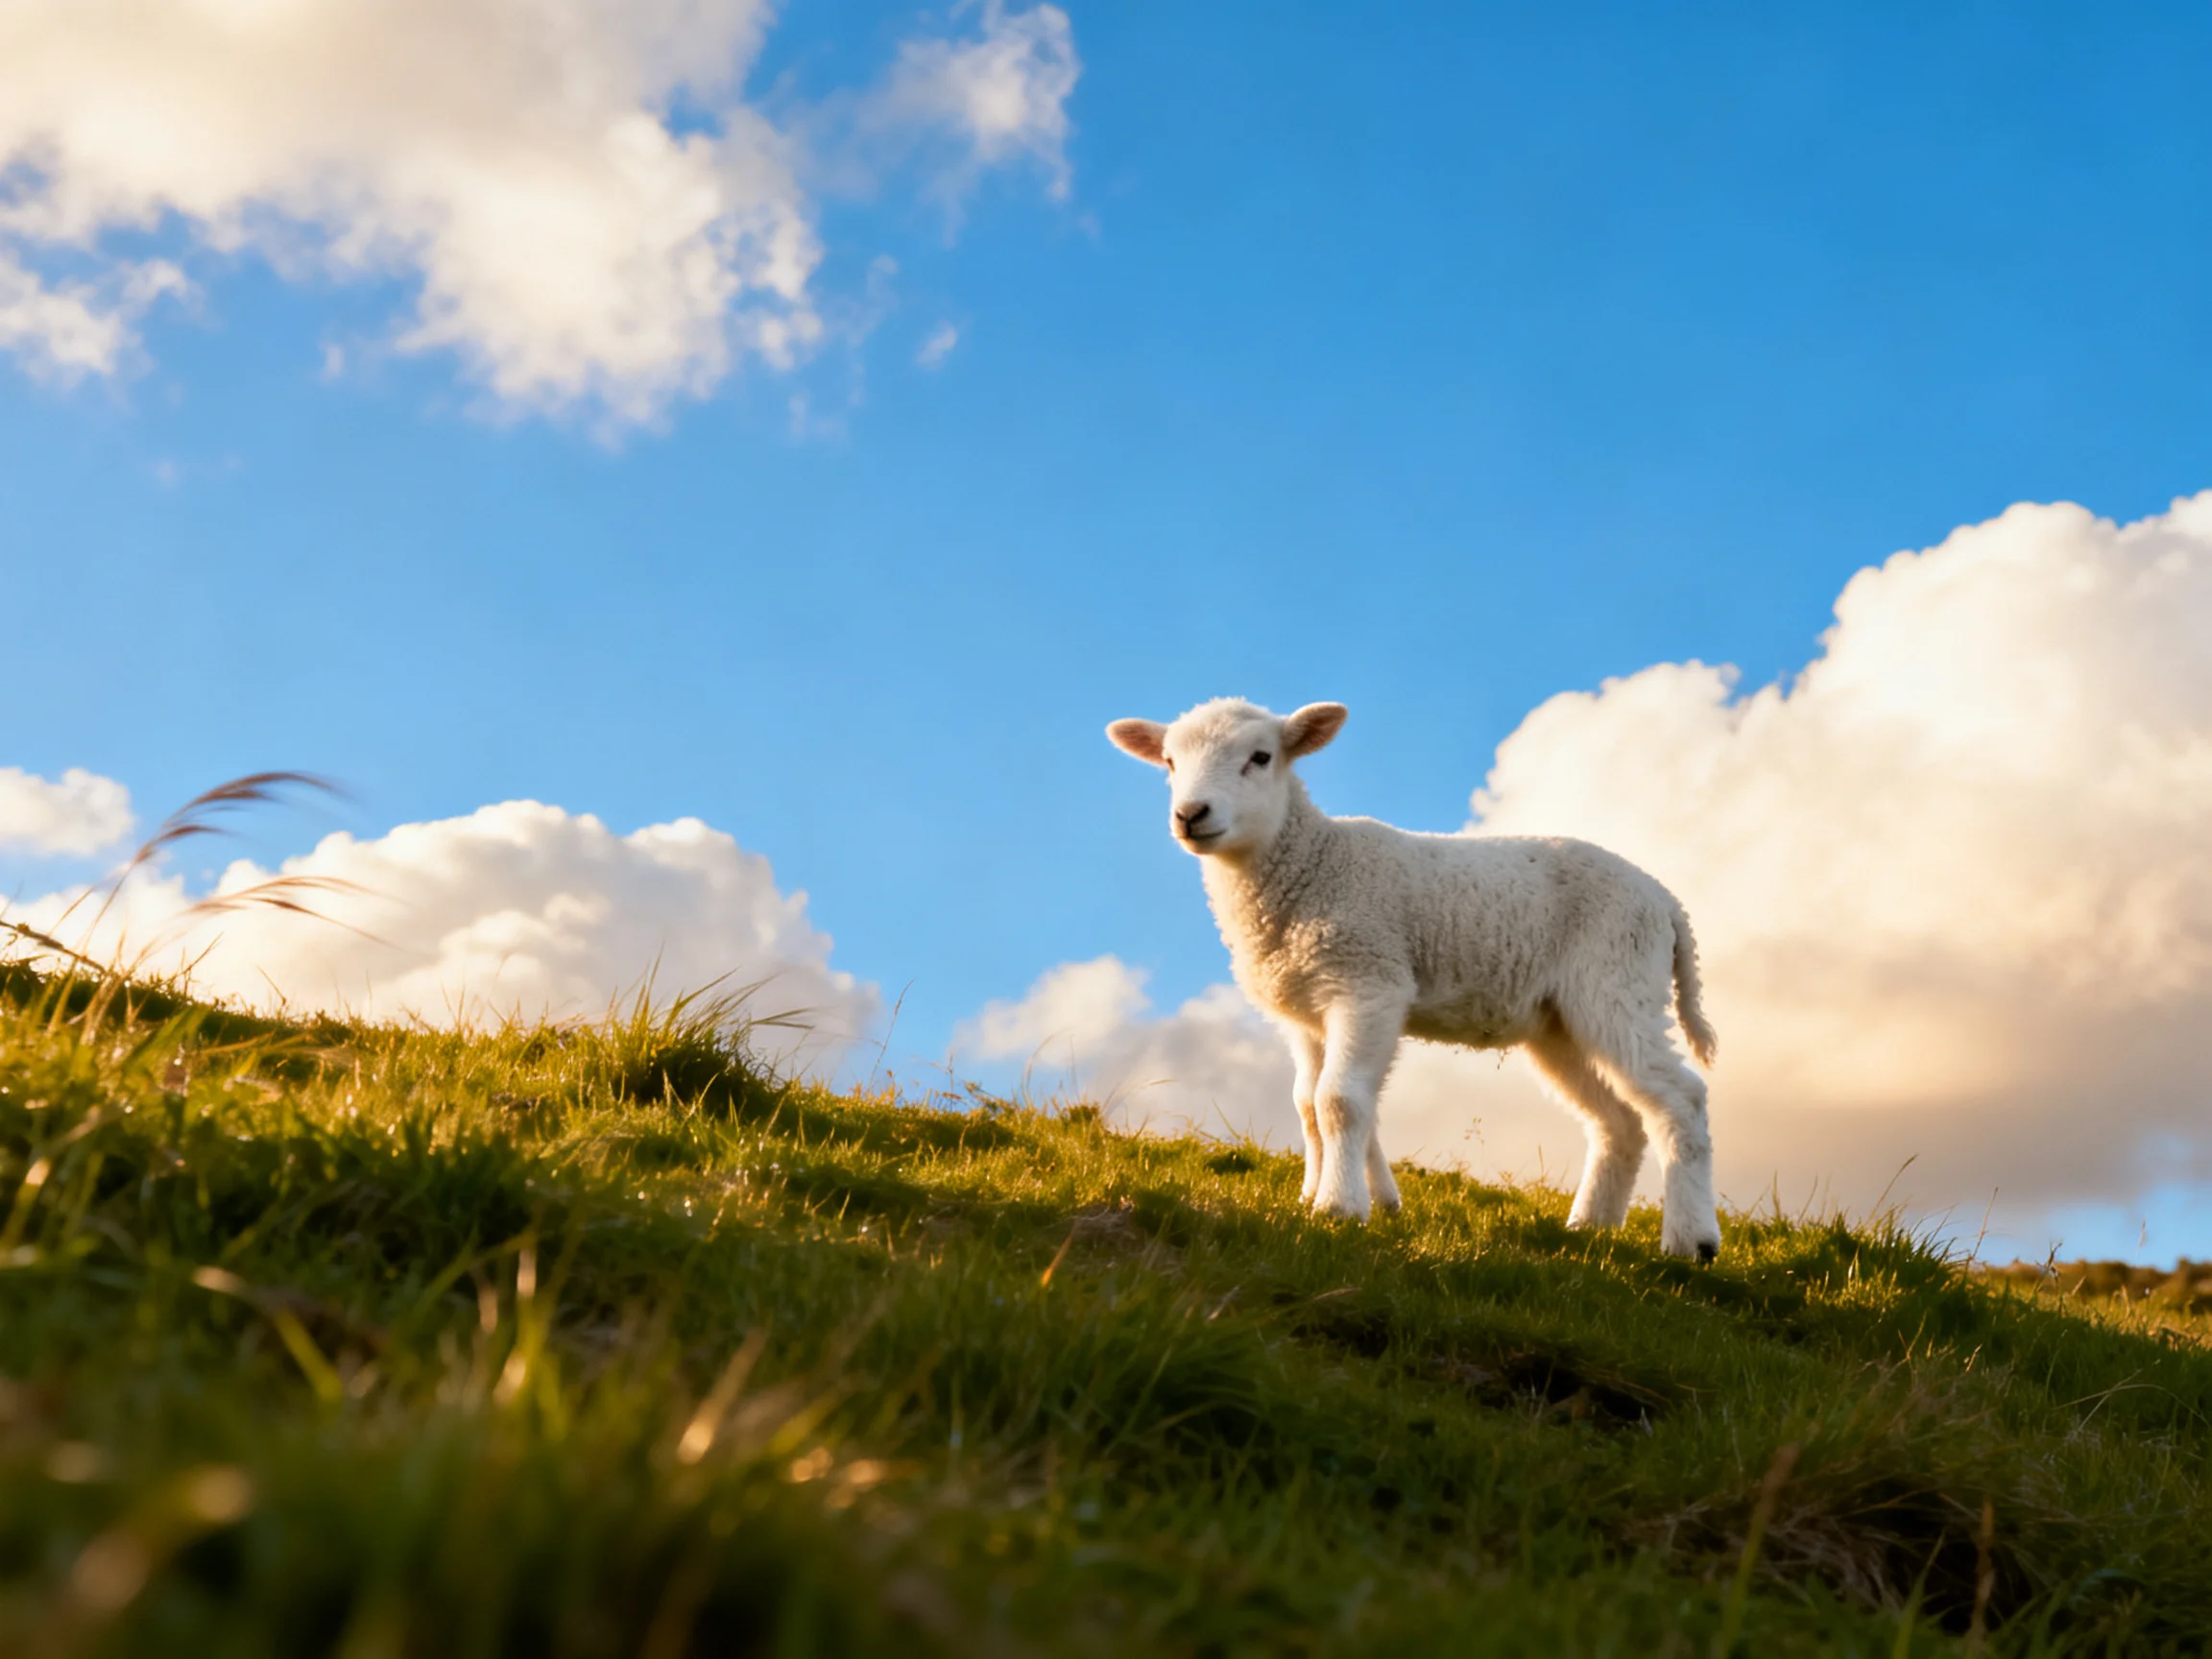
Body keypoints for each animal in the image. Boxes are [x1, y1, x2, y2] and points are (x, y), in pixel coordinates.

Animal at [1106, 697, 1722, 1260]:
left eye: (1261, 757)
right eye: (1168, 761)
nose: (1191, 814)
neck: (1309, 866)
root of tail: (1667, 903)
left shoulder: (1370, 982)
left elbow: (1339, 1101)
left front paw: (1339, 1208)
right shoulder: (1307, 1011)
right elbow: (1310, 1104)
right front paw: (1340, 1197)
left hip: (1617, 980)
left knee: (1681, 1098)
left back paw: (1691, 1240)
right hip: (1560, 1022)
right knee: (1619, 1121)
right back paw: (1590, 1229)